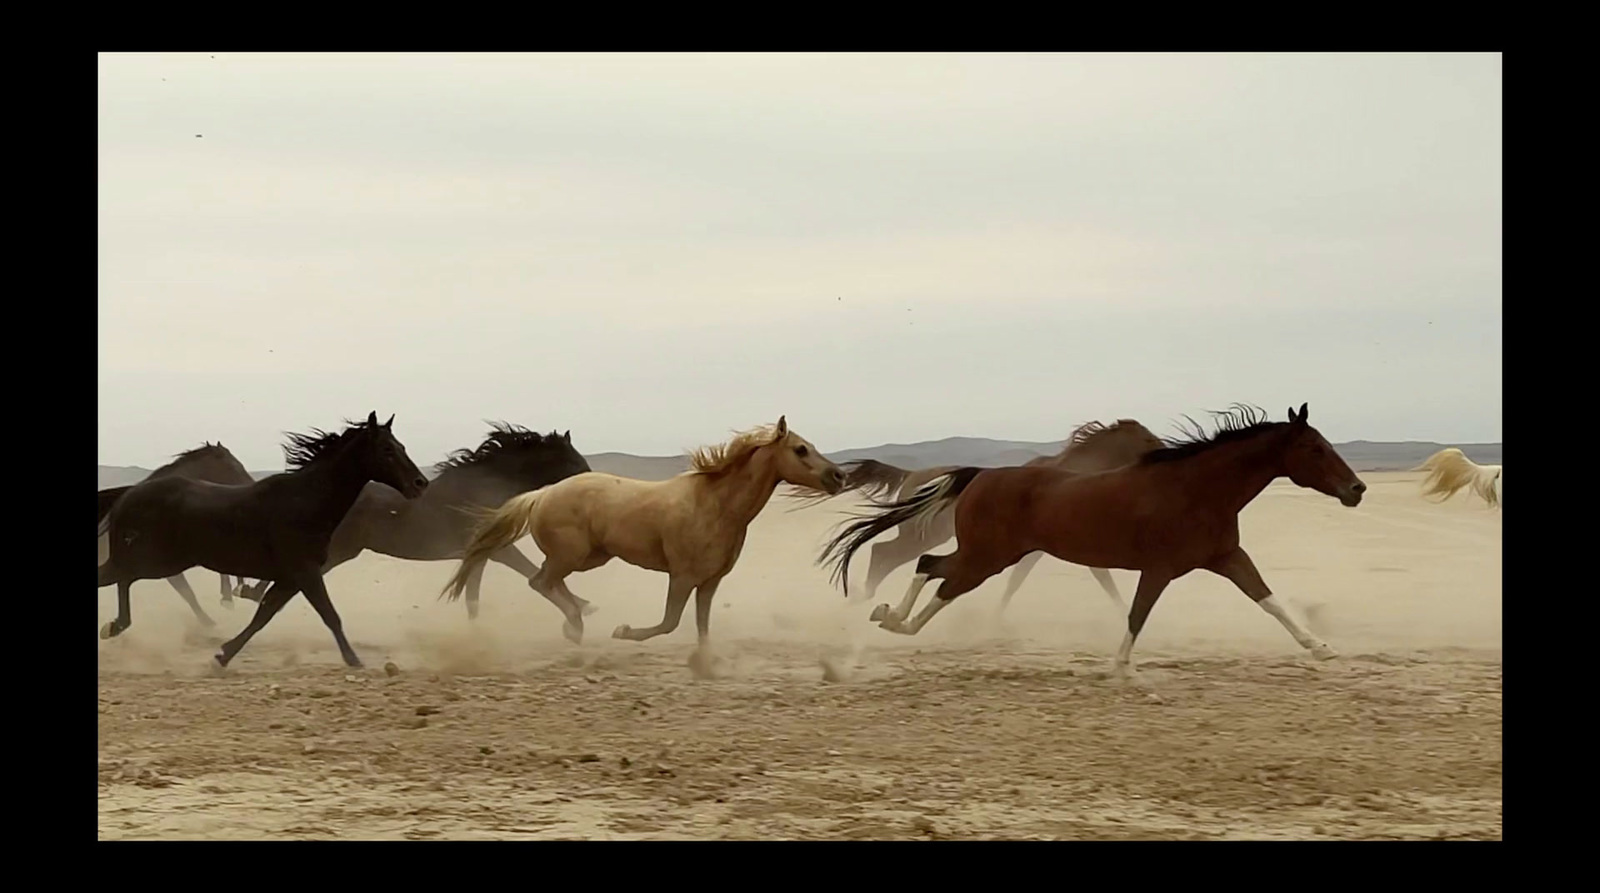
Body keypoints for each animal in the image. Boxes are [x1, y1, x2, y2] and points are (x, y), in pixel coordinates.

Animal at [233, 425, 592, 624]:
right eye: (572, 460)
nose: (592, 483)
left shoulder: (482, 554)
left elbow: (472, 596)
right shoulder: (499, 550)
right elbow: (530, 573)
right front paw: (583, 608)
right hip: (337, 552)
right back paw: (248, 595)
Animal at [438, 416, 838, 675]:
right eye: (801, 450)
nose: (838, 476)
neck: (716, 505)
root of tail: (541, 493)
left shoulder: (710, 582)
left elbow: (703, 626)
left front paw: (706, 665)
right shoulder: (682, 576)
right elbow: (669, 623)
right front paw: (624, 632)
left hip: (589, 557)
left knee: (547, 581)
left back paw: (575, 621)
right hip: (573, 555)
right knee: (541, 581)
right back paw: (575, 625)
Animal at [825, 404, 1363, 678]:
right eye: (1315, 448)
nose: (1356, 489)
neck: (1196, 488)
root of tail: (980, 475)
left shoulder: (1228, 557)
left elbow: (1268, 599)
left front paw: (1321, 647)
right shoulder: (1159, 568)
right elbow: (1136, 613)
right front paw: (1120, 665)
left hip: (991, 553)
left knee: (928, 566)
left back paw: (886, 619)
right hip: (988, 556)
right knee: (932, 575)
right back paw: (888, 622)